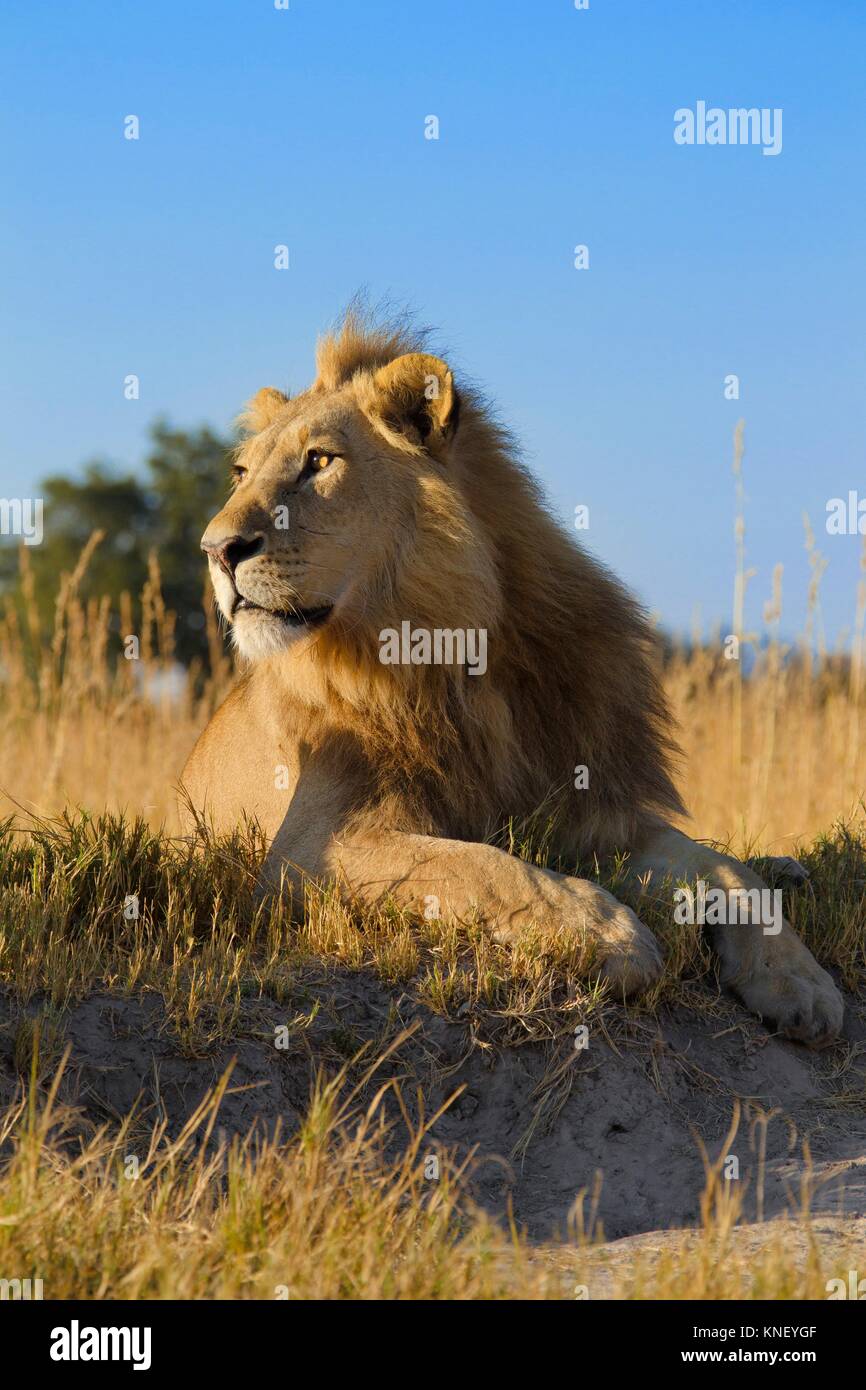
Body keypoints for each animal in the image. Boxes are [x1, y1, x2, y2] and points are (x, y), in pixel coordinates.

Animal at [181, 309, 843, 1045]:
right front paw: (609, 933)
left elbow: (722, 866)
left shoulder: (590, 802)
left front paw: (804, 983)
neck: (455, 659)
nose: (216, 550)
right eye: (241, 471)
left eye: (319, 461)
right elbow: (478, 865)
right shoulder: (304, 850)